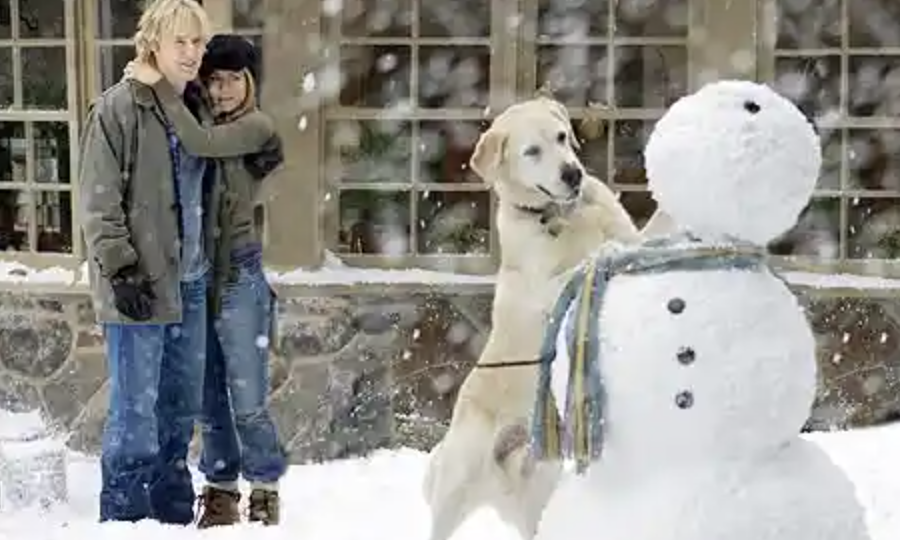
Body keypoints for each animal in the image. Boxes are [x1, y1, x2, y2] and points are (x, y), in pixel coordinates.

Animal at [422, 97, 640, 540]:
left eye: (561, 137)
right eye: (532, 152)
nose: (572, 173)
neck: (560, 214)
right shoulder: (541, 289)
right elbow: (577, 267)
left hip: (538, 488)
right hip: (454, 485)